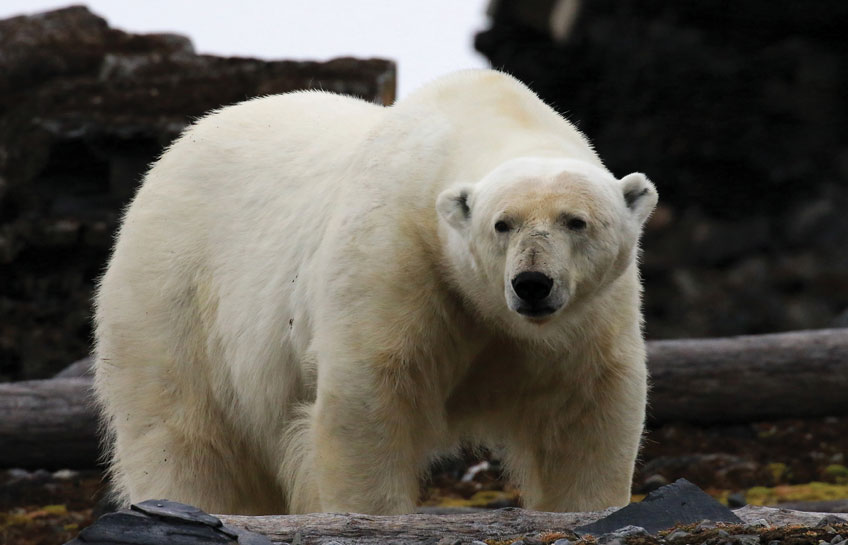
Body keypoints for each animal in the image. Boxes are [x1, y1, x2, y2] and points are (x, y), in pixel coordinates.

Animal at [96, 69, 660, 516]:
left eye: (576, 221)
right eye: (502, 224)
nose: (532, 283)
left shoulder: (592, 314)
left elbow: (586, 412)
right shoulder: (396, 255)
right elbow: (368, 396)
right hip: (174, 290)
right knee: (183, 433)